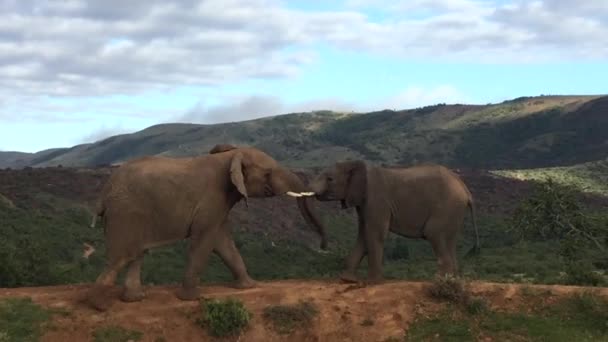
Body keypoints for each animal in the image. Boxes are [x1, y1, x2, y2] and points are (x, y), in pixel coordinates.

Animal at [85, 143, 328, 312]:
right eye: (268, 173)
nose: (324, 247)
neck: (231, 154)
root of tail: (104, 193)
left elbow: (223, 241)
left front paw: (249, 286)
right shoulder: (212, 198)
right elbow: (204, 241)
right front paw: (191, 298)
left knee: (136, 254)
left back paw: (134, 299)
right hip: (126, 214)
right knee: (122, 256)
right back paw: (99, 306)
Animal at [308, 160, 480, 284]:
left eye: (330, 179)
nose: (323, 247)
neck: (354, 163)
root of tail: (465, 190)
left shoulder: (376, 200)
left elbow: (374, 233)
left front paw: (372, 282)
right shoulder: (364, 204)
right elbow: (363, 235)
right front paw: (347, 280)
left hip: (447, 207)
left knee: (434, 234)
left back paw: (440, 280)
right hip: (454, 211)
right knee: (449, 241)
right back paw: (453, 280)